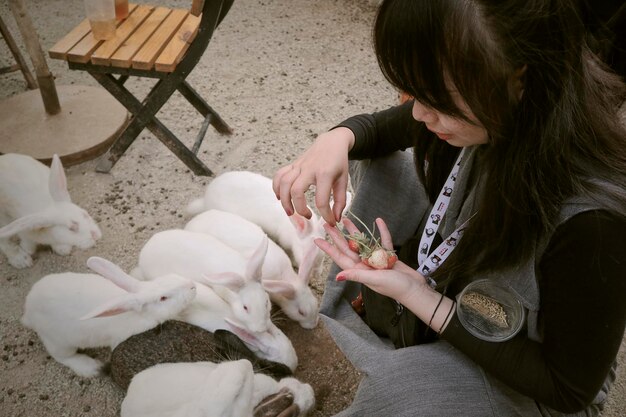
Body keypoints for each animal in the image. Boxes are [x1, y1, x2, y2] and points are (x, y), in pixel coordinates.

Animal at [20, 255, 194, 376]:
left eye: (167, 277)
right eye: (163, 298)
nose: (192, 286)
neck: (138, 314)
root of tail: (29, 310)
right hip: (59, 341)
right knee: (63, 357)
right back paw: (91, 368)